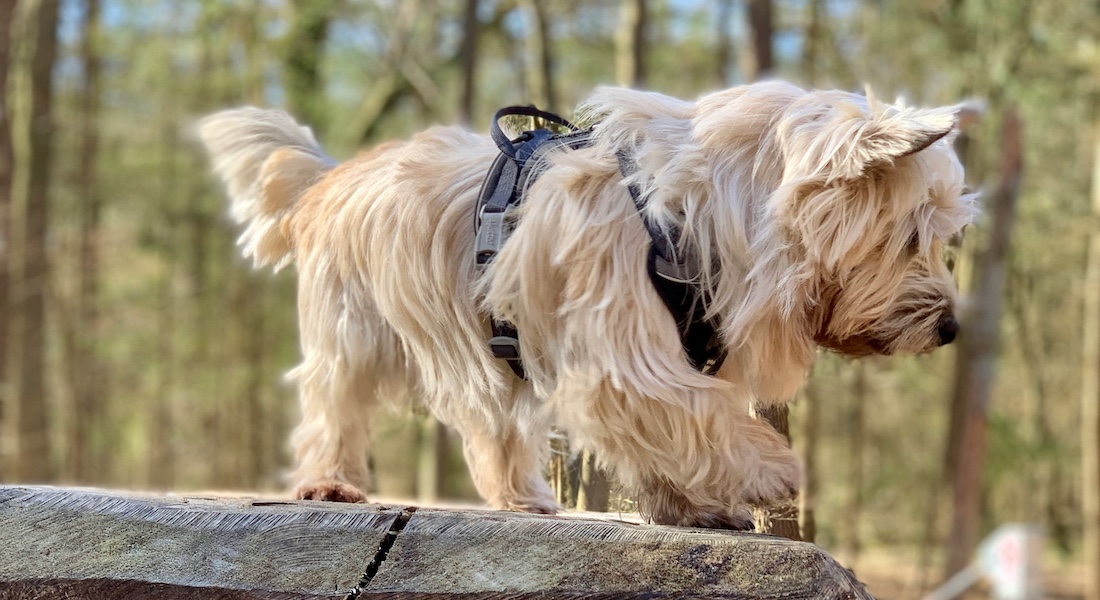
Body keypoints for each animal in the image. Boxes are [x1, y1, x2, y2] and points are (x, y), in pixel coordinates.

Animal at [202, 82, 976, 526]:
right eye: (914, 234)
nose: (951, 328)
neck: (702, 211)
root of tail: (328, 179)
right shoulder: (622, 353)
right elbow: (694, 410)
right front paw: (771, 471)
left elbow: (678, 426)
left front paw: (688, 505)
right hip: (353, 331)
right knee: (330, 404)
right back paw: (329, 483)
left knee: (494, 425)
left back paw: (520, 495)